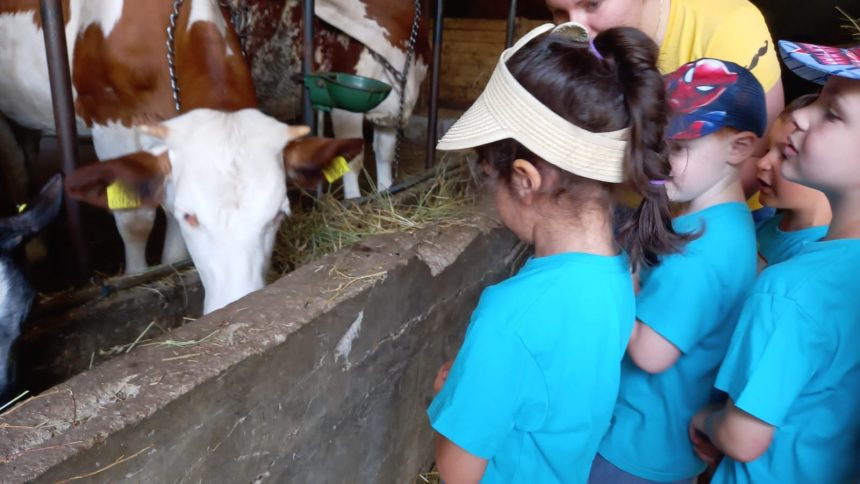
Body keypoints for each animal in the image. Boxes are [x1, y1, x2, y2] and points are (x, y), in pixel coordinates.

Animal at [0, 0, 362, 314]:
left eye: (279, 215)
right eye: (191, 216)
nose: (237, 305)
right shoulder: (110, 123)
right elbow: (135, 220)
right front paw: (136, 274)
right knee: (16, 166)